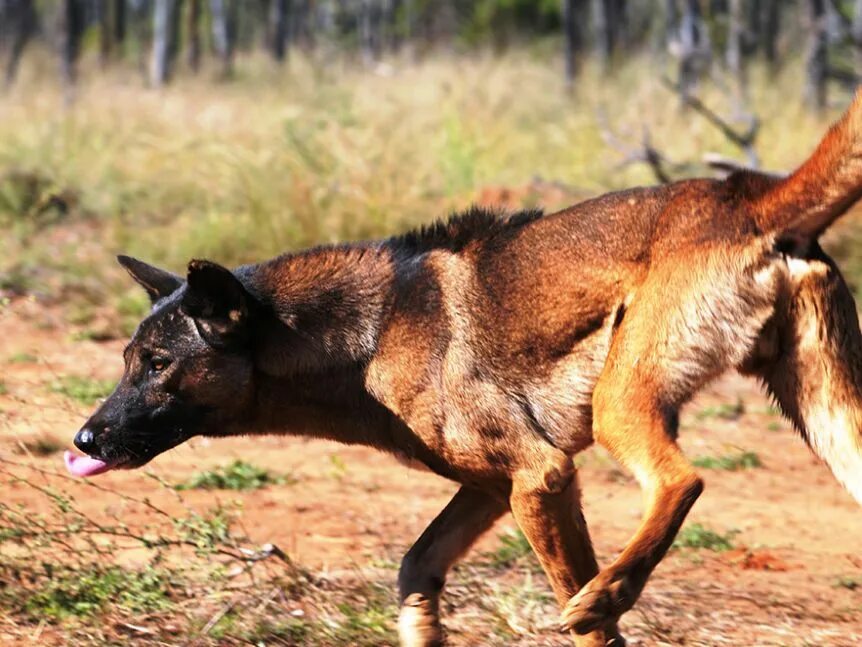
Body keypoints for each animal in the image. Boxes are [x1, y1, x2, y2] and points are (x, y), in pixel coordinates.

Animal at [66, 88, 862, 644]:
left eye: (157, 363)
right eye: (128, 360)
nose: (82, 441)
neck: (369, 335)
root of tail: (749, 194)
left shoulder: (541, 476)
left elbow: (593, 629)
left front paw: (596, 609)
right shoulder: (492, 488)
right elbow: (415, 570)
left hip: (622, 406)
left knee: (681, 482)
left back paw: (608, 590)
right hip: (828, 422)